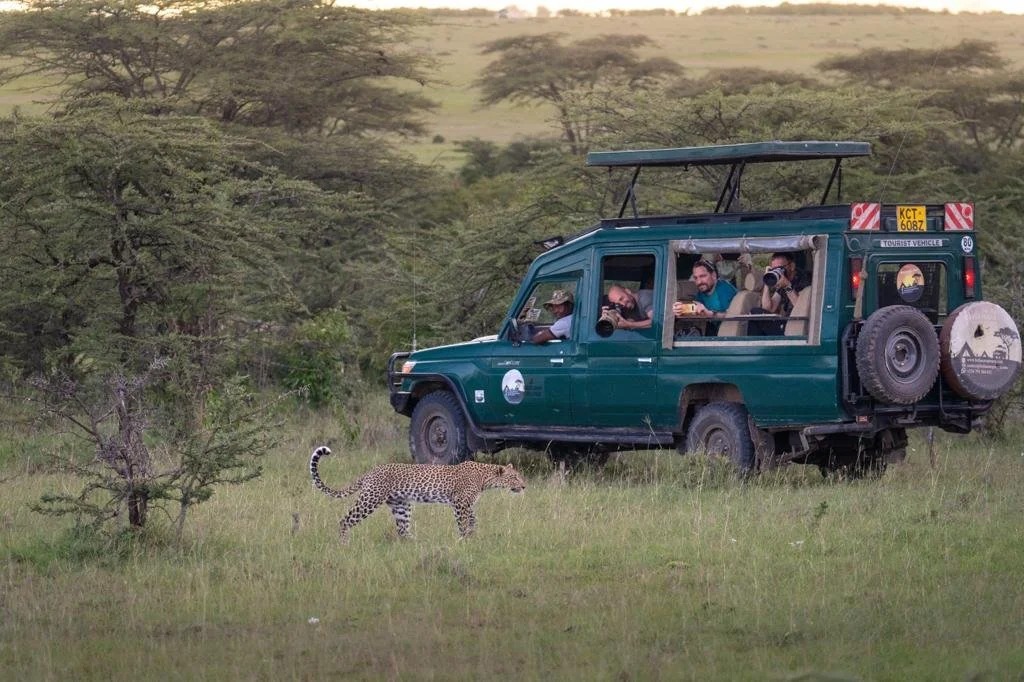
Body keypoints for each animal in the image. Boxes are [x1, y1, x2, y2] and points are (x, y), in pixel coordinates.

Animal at [309, 446, 526, 544]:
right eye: (515, 477)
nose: (524, 486)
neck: (485, 478)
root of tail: (370, 472)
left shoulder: (467, 504)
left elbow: (473, 519)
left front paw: (473, 534)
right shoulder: (459, 503)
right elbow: (463, 522)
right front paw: (464, 539)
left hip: (401, 505)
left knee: (402, 530)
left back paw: (414, 543)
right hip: (370, 499)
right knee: (345, 520)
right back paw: (344, 543)